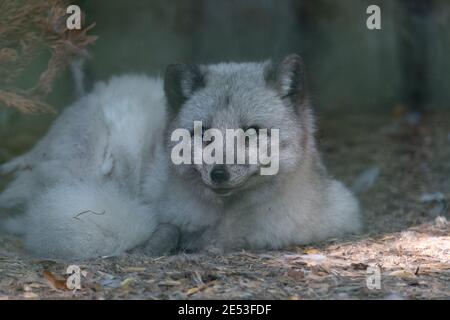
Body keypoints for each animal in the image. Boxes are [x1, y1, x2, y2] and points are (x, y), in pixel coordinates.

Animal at [0, 54, 358, 260]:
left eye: (251, 131)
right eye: (203, 132)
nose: (218, 173)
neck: (227, 217)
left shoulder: (338, 214)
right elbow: (164, 226)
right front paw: (163, 240)